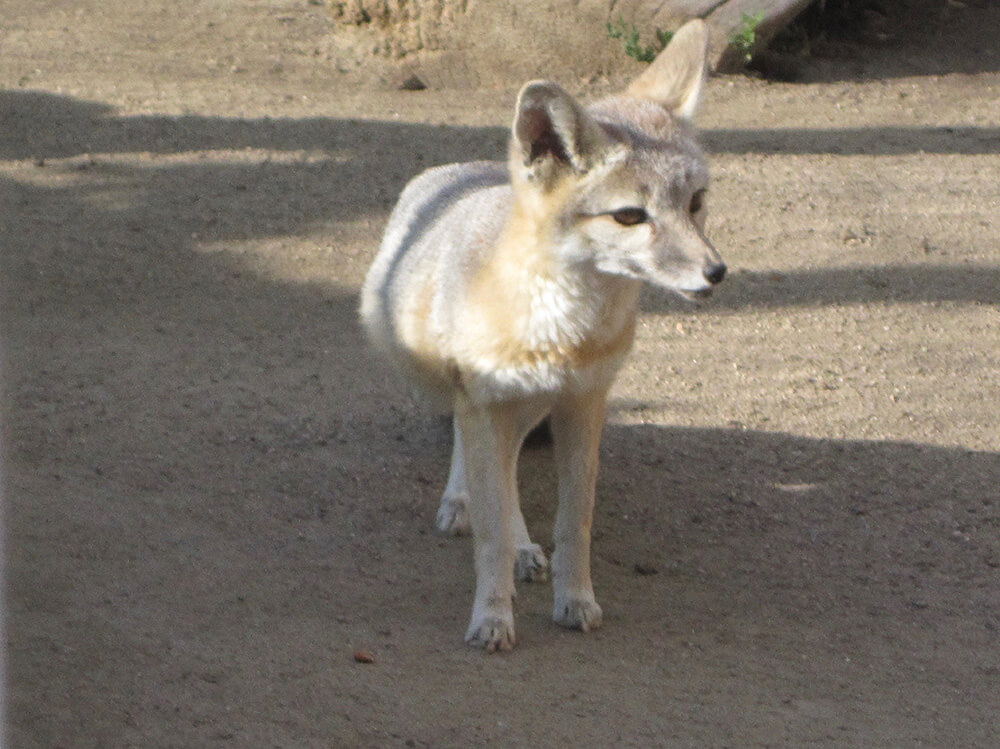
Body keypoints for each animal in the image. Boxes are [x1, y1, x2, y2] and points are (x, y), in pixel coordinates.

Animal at [360, 19, 728, 648]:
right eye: (630, 216)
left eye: (696, 203)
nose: (715, 272)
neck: (565, 331)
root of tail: (461, 173)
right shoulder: (487, 402)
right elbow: (490, 532)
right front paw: (491, 616)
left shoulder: (583, 403)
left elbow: (574, 522)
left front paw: (575, 599)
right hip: (442, 378)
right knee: (474, 452)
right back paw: (469, 506)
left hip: (532, 406)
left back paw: (525, 545)